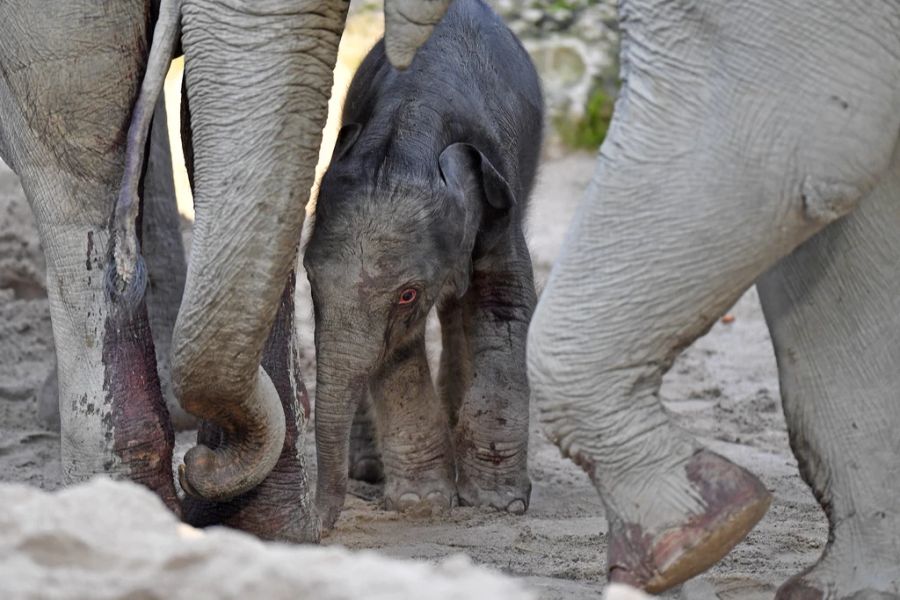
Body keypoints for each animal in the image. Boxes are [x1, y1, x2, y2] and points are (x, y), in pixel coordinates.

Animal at [306, 0, 540, 528]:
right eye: (309, 281)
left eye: (408, 294)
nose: (323, 526)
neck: (409, 129)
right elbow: (396, 352)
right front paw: (421, 503)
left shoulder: (502, 206)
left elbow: (505, 303)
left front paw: (498, 502)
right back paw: (369, 470)